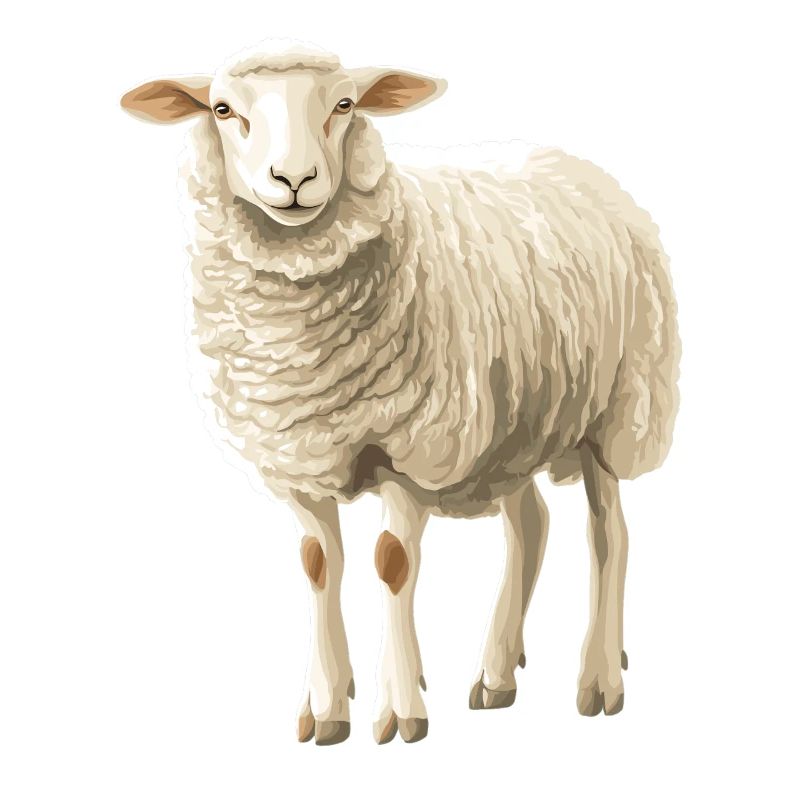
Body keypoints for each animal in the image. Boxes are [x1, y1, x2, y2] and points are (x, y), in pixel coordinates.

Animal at [121, 39, 680, 746]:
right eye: (222, 109)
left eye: (344, 104)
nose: (294, 180)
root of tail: (575, 164)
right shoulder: (297, 456)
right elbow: (316, 564)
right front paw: (325, 710)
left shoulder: (412, 446)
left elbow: (392, 564)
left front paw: (399, 710)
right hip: (513, 419)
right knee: (530, 526)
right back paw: (496, 675)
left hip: (617, 408)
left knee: (609, 535)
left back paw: (599, 679)